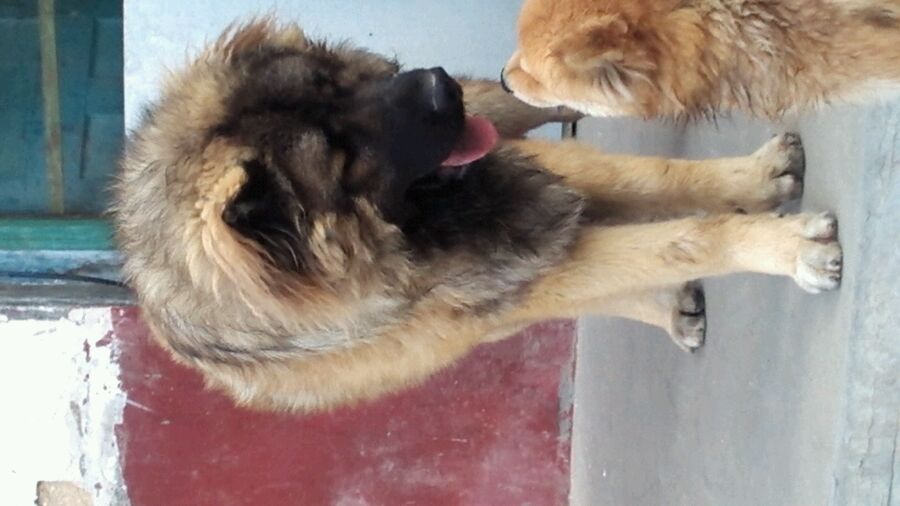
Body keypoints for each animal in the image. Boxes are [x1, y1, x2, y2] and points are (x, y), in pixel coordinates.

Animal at [114, 20, 842, 412]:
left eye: (336, 82)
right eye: (341, 156)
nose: (438, 84)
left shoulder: (528, 179)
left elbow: (659, 183)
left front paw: (754, 179)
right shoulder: (519, 266)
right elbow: (680, 239)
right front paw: (787, 246)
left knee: (519, 98)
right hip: (484, 317)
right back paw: (665, 307)